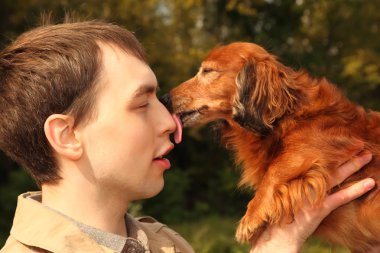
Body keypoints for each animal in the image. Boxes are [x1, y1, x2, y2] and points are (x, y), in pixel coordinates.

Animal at [162, 42, 380, 252]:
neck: (287, 115)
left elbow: (275, 170)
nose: (164, 99)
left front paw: (251, 218)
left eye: (208, 71)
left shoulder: (319, 146)